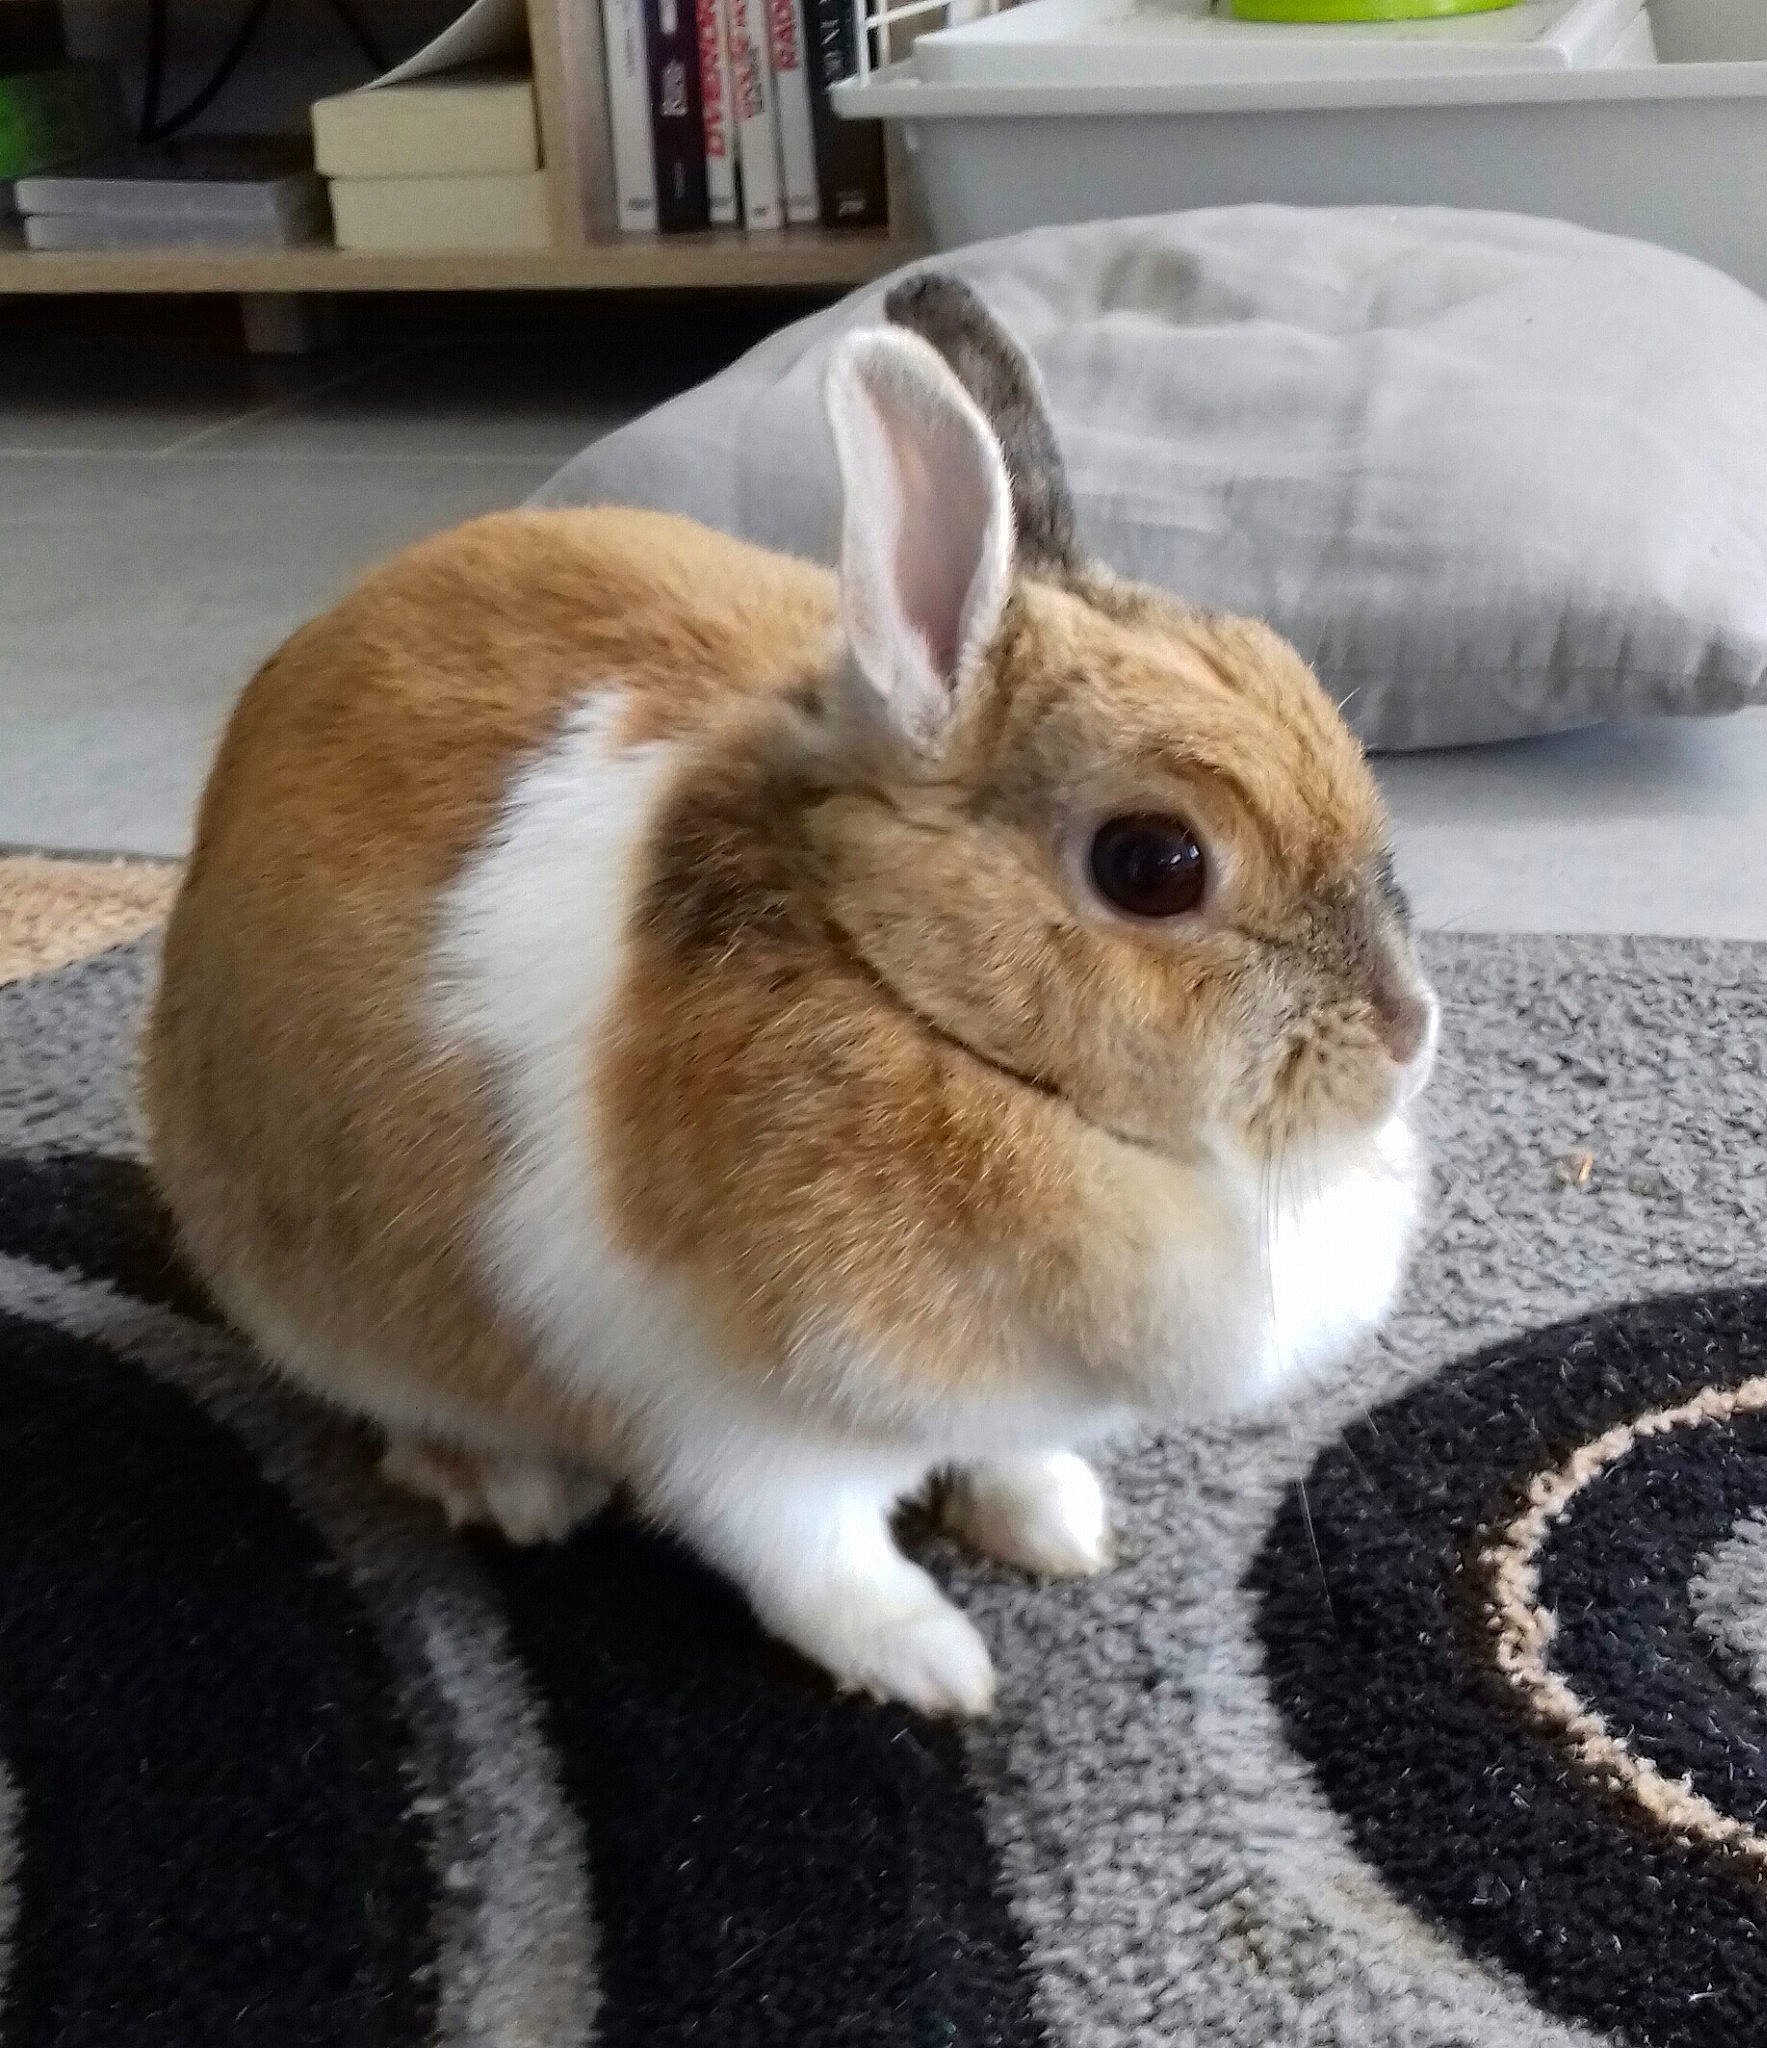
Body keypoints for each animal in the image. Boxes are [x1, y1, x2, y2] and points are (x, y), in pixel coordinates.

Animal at [142, 273, 1435, 1717]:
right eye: (1152, 865)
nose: (1407, 1033)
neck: (908, 1002)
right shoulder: (738, 1438)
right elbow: (818, 1563)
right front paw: (937, 1667)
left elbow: (1008, 1458)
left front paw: (1060, 1527)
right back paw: (514, 1489)